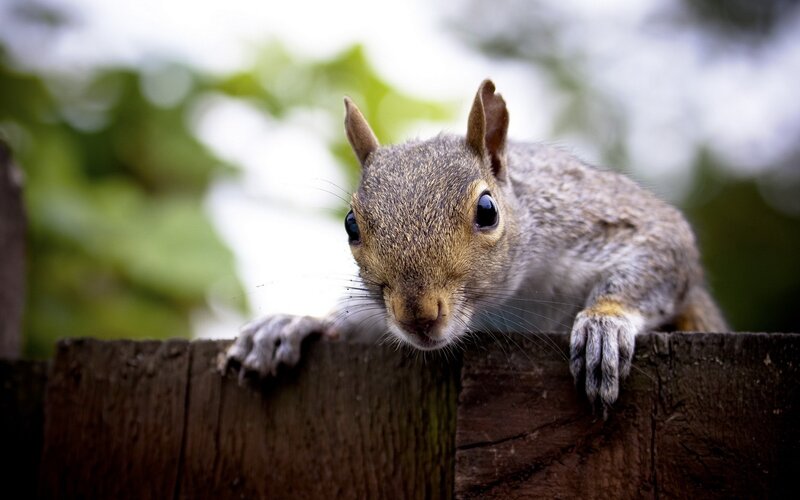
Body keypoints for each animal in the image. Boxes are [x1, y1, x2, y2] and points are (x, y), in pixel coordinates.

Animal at [222, 79, 727, 411]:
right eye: (351, 225)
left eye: (487, 211)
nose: (418, 316)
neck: (505, 302)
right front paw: (295, 323)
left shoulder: (599, 219)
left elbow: (662, 247)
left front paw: (604, 324)